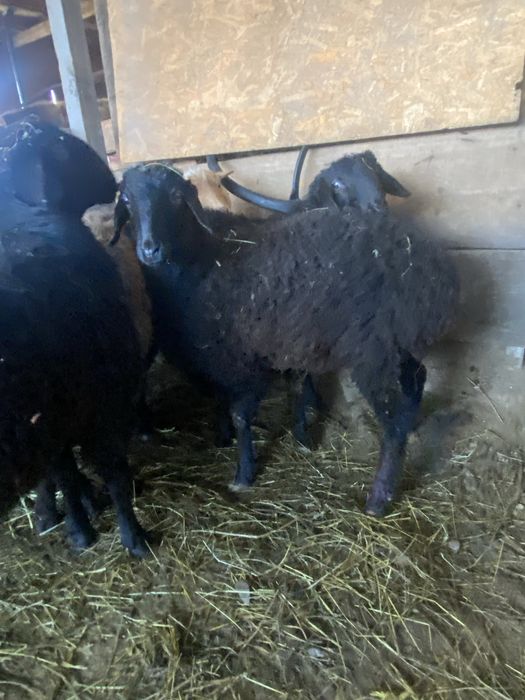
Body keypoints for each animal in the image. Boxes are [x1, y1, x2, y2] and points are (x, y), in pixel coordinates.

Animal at [0, 122, 150, 555]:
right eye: (66, 146)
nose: (111, 180)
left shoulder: (49, 421)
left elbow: (64, 473)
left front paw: (78, 525)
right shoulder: (102, 402)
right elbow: (111, 472)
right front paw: (132, 536)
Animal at [115, 165, 459, 515]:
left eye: (175, 197)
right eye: (126, 201)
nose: (149, 249)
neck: (203, 258)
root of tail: (429, 264)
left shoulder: (245, 360)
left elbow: (242, 415)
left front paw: (244, 472)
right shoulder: (224, 353)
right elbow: (228, 399)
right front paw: (227, 438)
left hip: (372, 350)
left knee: (391, 422)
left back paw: (379, 496)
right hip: (397, 341)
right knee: (417, 380)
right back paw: (411, 426)